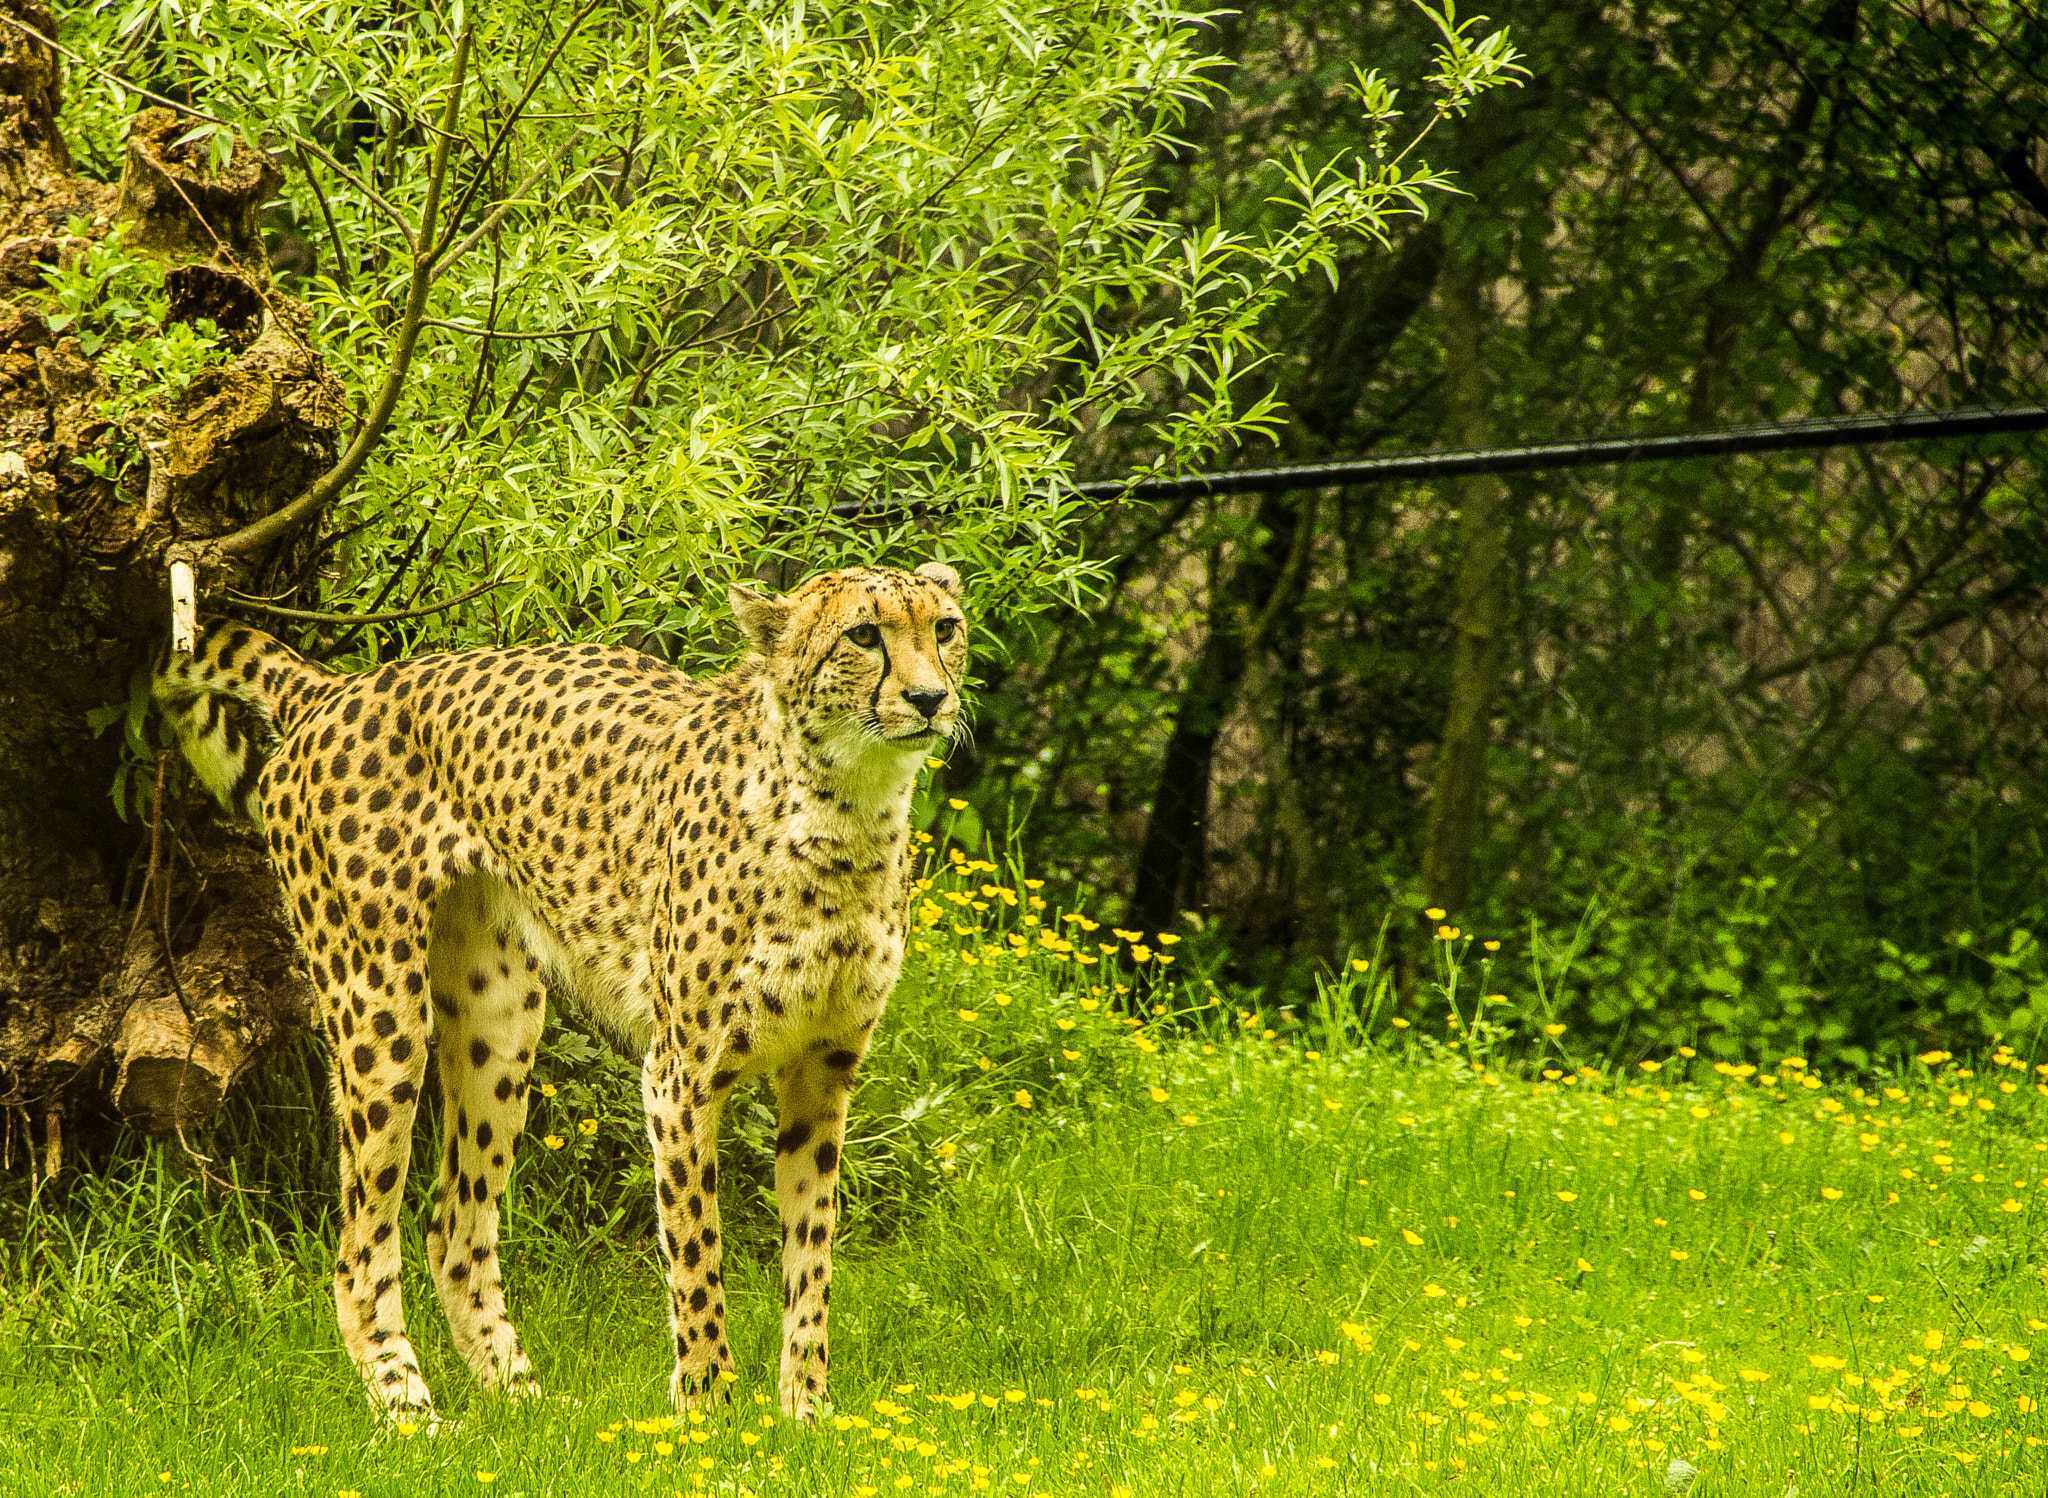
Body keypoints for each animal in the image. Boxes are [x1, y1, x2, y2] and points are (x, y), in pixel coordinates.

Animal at [154, 562, 969, 1421]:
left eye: (944, 628)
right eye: (864, 635)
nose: (929, 698)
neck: (847, 813)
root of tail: (338, 687)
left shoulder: (824, 1069)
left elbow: (811, 1260)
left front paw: (806, 1414)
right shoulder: (679, 1077)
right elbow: (697, 1252)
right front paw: (706, 1415)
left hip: (501, 1017)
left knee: (454, 1224)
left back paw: (524, 1401)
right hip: (378, 1004)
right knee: (360, 1243)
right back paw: (409, 1408)